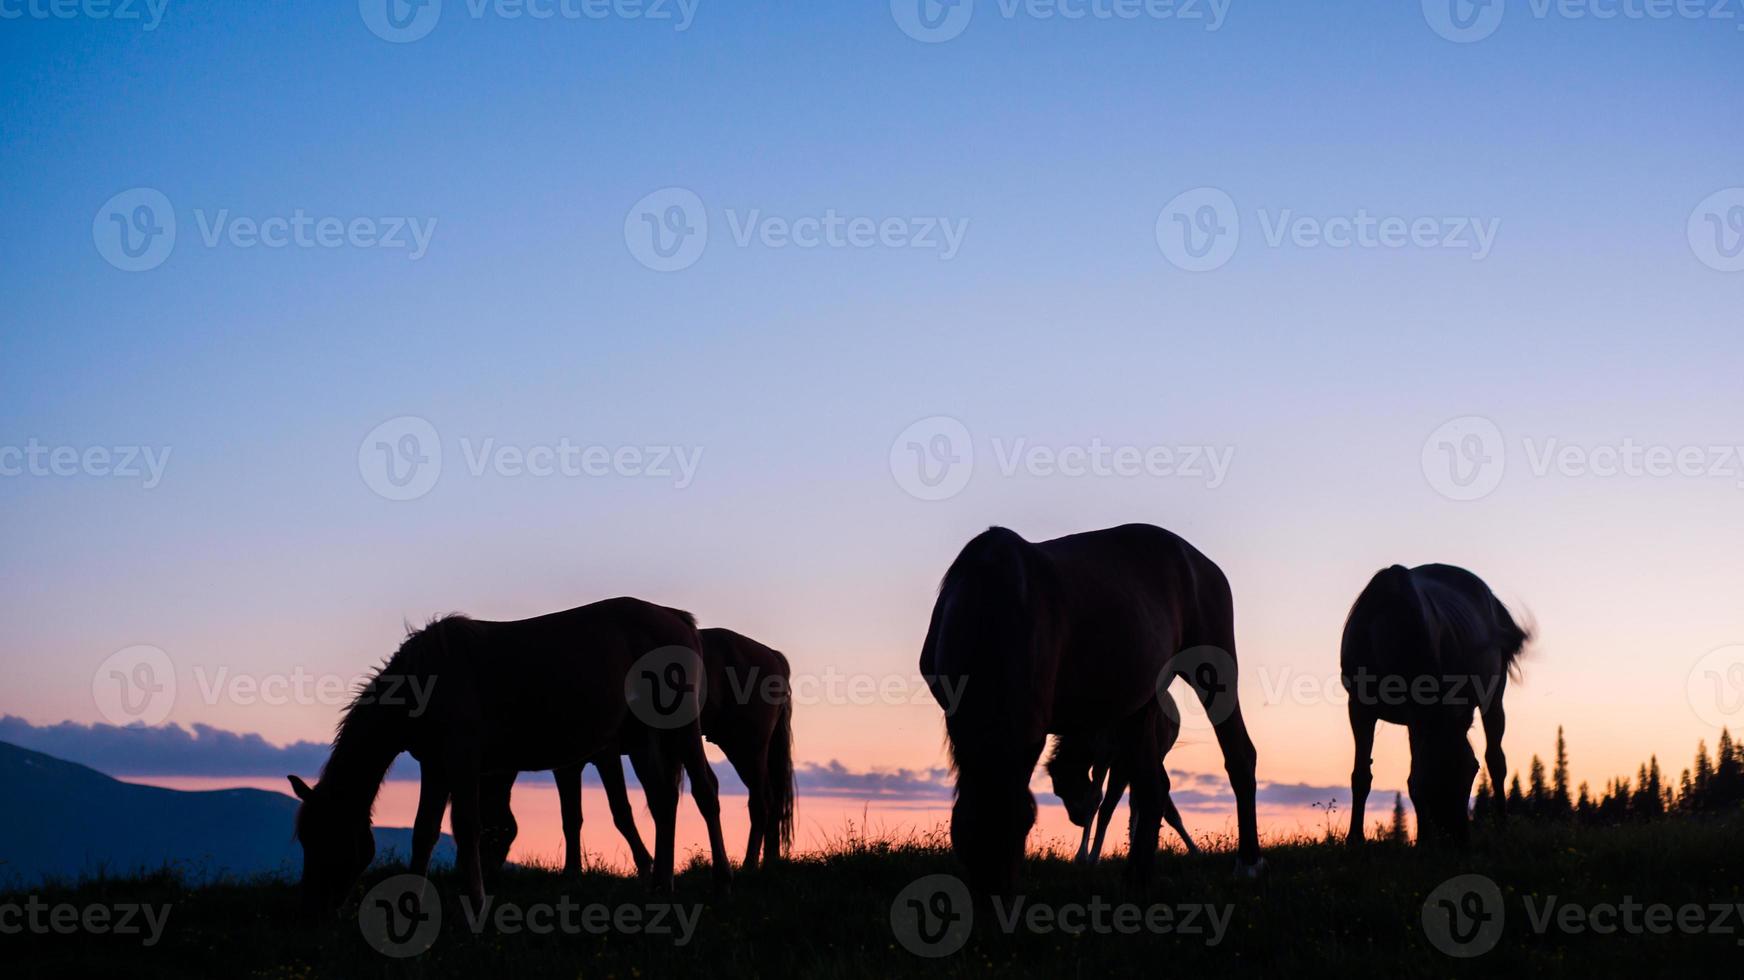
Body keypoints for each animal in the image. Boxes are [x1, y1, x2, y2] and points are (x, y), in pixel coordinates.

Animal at [284, 596, 728, 906]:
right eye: (305, 838)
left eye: (329, 836)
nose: (311, 906)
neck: (425, 679)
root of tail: (678, 619)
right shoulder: (436, 766)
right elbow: (424, 831)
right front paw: (411, 902)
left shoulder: (462, 761)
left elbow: (466, 826)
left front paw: (477, 903)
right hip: (640, 737)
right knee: (663, 800)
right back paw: (661, 885)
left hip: (681, 730)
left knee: (705, 791)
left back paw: (721, 880)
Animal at [484, 627, 798, 871]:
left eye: (494, 832)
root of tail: (772, 655)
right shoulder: (567, 766)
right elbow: (571, 819)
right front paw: (572, 873)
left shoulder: (606, 754)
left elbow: (620, 811)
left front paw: (645, 864)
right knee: (770, 800)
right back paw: (769, 863)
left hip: (746, 746)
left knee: (761, 801)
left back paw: (749, 866)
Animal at [1046, 683, 1199, 857]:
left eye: (1061, 790)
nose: (1077, 819)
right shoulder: (1108, 759)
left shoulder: (1112, 759)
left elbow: (1100, 803)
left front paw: (1085, 855)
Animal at [1339, 564, 1534, 840]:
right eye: (1433, 776)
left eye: (1472, 770)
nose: (1458, 838)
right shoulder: (1359, 706)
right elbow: (1365, 775)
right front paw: (1356, 839)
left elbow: (1411, 777)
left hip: (1493, 697)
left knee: (1497, 760)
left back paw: (1502, 827)